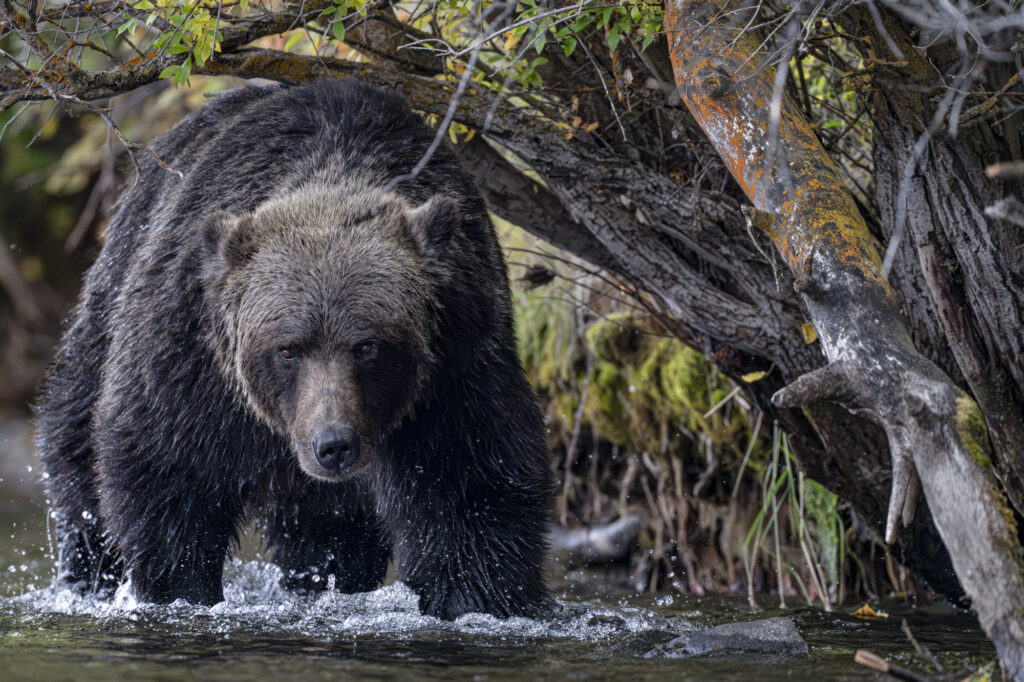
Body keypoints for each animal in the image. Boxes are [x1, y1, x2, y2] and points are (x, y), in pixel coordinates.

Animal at [34, 79, 553, 619]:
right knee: (77, 453)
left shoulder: (456, 363)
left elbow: (470, 489)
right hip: (110, 299)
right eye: (288, 350)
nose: (334, 445)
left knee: (327, 536)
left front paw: (481, 597)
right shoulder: (191, 358)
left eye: (366, 346)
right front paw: (180, 589)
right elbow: (166, 472)